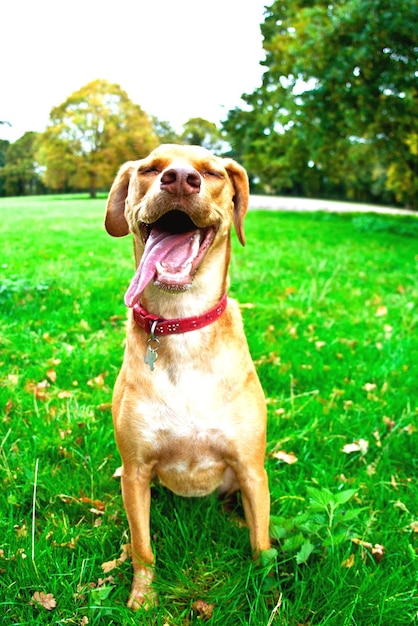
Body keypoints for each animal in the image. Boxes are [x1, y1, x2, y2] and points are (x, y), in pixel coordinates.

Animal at [104, 145, 272, 604]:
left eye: (212, 173)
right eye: (149, 169)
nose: (180, 179)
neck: (181, 324)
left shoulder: (251, 468)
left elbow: (261, 544)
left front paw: (267, 594)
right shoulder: (136, 470)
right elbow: (143, 546)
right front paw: (142, 600)